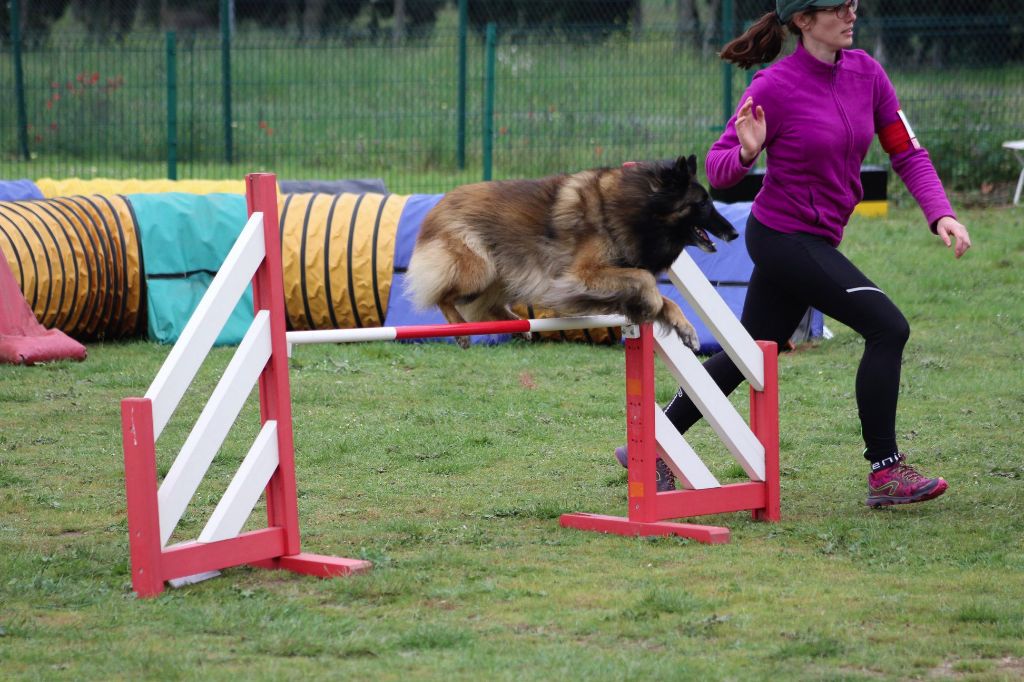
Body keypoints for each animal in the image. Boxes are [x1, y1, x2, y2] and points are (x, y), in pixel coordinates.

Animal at [405, 153, 737, 346]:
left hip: (503, 273)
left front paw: (684, 327)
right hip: (478, 269)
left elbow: (663, 298)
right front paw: (655, 304)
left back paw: (518, 326)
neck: (637, 206)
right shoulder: (582, 275)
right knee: (443, 297)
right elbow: (648, 283)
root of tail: (439, 204)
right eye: (703, 203)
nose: (734, 232)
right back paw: (461, 331)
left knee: (488, 306)